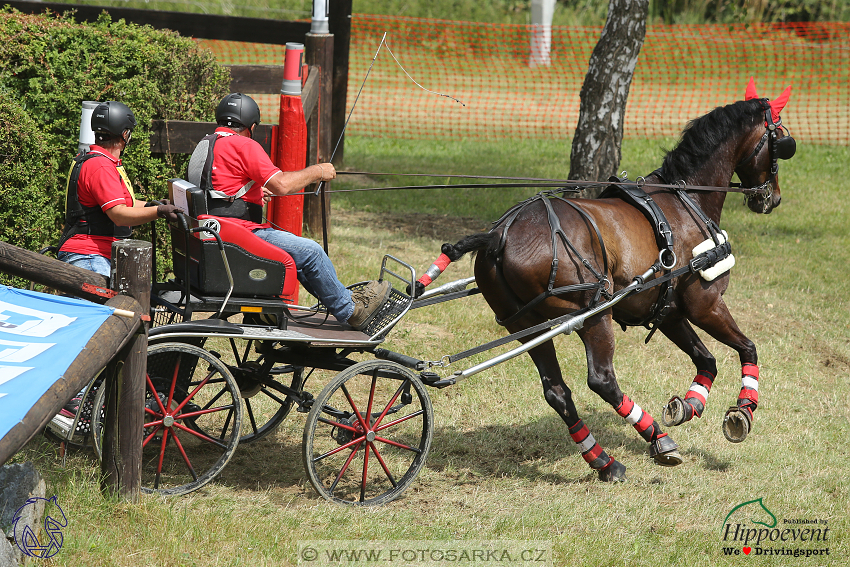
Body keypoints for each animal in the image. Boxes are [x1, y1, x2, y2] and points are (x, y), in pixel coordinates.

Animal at [424, 82, 796, 482]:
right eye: (781, 140)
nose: (772, 198)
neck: (685, 200)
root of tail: (497, 237)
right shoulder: (705, 304)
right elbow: (748, 348)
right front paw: (742, 410)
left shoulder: (668, 310)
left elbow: (706, 360)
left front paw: (690, 404)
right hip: (594, 315)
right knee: (601, 380)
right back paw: (656, 438)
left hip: (527, 326)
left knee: (557, 392)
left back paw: (603, 459)